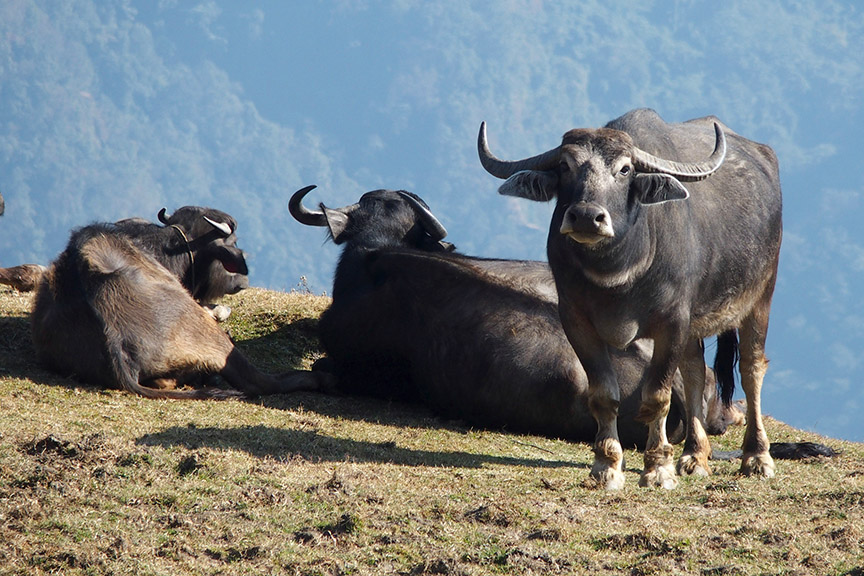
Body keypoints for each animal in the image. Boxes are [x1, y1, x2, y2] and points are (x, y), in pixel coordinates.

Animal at [480, 107, 784, 486]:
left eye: (625, 169)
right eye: (565, 165)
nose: (586, 217)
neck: (617, 275)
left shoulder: (672, 322)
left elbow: (657, 396)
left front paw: (657, 469)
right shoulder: (577, 322)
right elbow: (603, 395)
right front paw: (606, 465)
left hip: (761, 297)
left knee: (751, 369)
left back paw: (757, 457)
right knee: (695, 370)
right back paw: (695, 456)